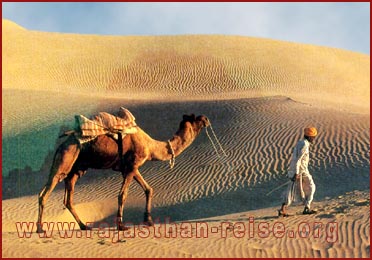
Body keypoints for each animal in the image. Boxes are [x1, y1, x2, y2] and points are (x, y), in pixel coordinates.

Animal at [36, 112, 209, 233]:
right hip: (64, 161)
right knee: (44, 194)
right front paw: (121, 225)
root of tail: (61, 145)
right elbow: (122, 195)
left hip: (75, 170)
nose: (207, 119)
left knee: (67, 199)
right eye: (197, 118)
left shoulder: (131, 167)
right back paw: (40, 228)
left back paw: (84, 226)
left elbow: (149, 189)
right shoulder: (132, 167)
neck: (151, 146)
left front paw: (149, 220)